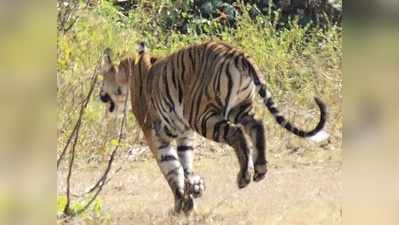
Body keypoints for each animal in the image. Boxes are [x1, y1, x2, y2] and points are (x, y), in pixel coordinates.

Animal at [99, 40, 328, 214]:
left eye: (102, 78)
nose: (100, 94)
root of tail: (237, 52)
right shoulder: (185, 132)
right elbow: (185, 162)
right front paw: (193, 190)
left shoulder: (155, 134)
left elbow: (171, 167)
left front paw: (181, 202)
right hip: (240, 107)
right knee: (257, 125)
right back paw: (260, 169)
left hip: (202, 115)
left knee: (236, 133)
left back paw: (244, 176)